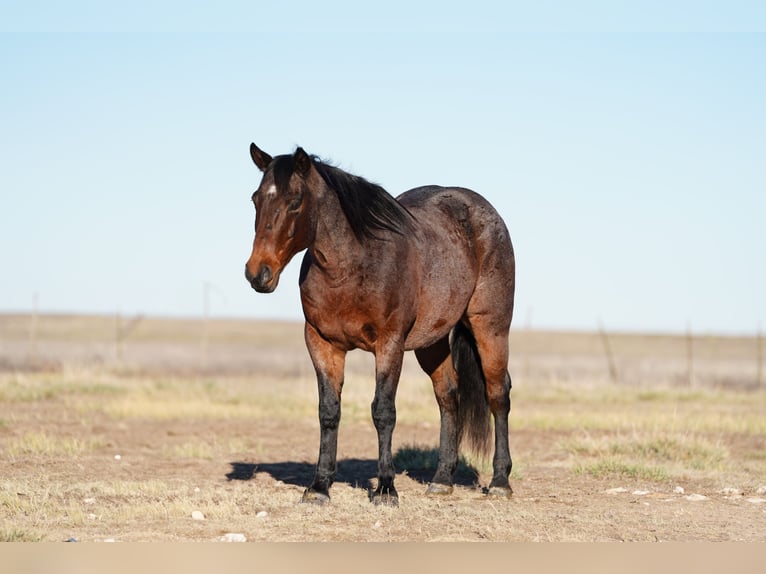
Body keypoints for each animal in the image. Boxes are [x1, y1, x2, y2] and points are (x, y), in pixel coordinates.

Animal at [246, 144, 516, 508]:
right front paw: (319, 487)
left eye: (295, 200)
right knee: (448, 395)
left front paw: (386, 489)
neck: (351, 267)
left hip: (490, 327)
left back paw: (500, 481)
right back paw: (442, 479)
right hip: (431, 342)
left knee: (498, 394)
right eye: (256, 198)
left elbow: (383, 411)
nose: (258, 273)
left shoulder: (389, 344)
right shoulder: (322, 343)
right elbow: (328, 411)